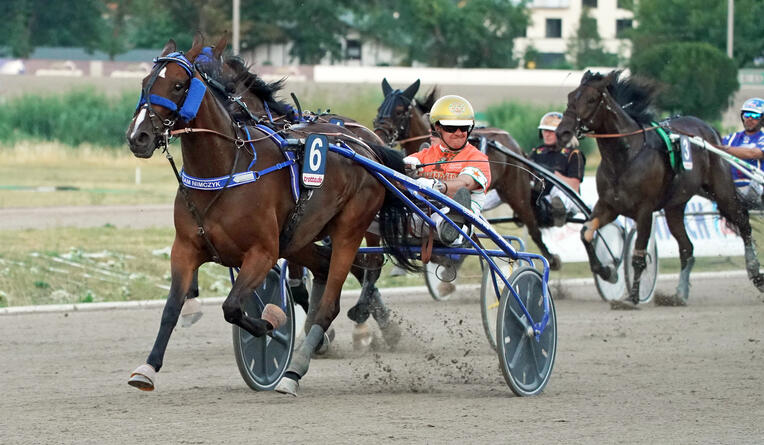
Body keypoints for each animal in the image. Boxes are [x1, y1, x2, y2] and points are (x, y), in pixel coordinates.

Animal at [124, 34, 418, 388]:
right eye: (145, 82)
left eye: (179, 85)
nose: (138, 136)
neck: (225, 168)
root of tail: (366, 147)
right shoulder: (185, 248)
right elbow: (172, 308)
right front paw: (148, 367)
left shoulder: (263, 252)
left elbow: (233, 306)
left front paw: (270, 326)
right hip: (302, 238)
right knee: (331, 269)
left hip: (351, 229)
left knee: (348, 285)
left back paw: (299, 367)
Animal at [374, 78, 560, 268]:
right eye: (380, 109)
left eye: (399, 111)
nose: (379, 134)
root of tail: (513, 145)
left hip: (516, 193)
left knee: (533, 228)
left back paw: (551, 259)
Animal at [556, 70, 764, 308]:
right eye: (570, 97)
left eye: (591, 99)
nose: (562, 132)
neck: (625, 157)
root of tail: (709, 131)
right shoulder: (608, 205)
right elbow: (586, 234)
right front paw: (607, 272)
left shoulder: (644, 210)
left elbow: (639, 254)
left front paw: (633, 297)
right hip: (675, 206)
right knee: (687, 247)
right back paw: (679, 294)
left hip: (722, 191)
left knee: (744, 224)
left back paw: (755, 273)